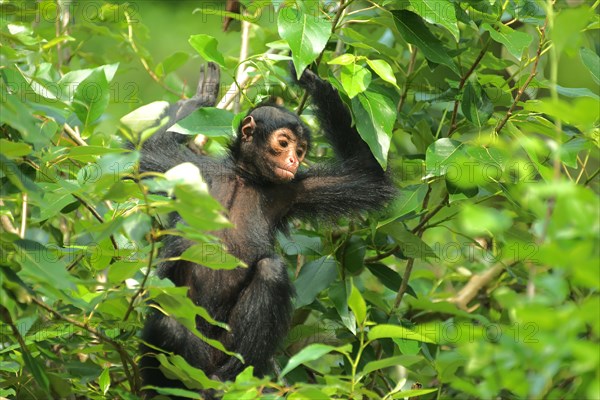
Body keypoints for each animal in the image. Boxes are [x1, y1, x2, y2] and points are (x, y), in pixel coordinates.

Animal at [138, 62, 396, 396]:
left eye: (302, 150)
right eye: (283, 143)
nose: (293, 159)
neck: (246, 177)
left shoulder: (294, 189)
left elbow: (368, 176)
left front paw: (311, 80)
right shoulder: (186, 169)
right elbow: (145, 150)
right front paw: (202, 97)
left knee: (270, 270)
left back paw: (230, 379)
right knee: (167, 323)